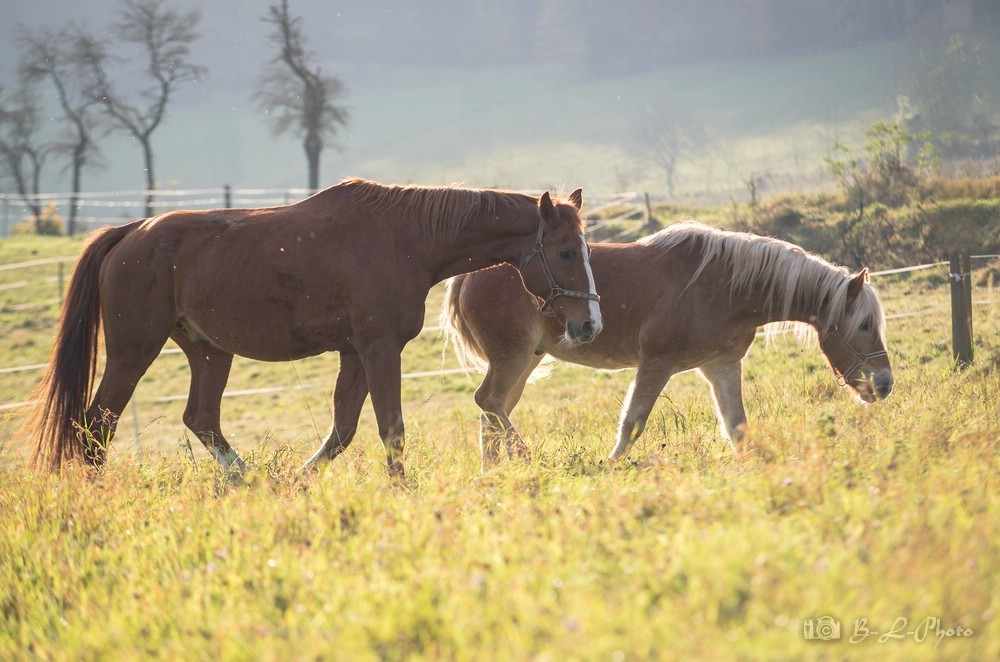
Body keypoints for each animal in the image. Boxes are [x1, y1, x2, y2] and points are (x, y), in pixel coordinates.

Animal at [29, 179, 600, 474]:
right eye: (565, 252)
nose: (589, 323)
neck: (405, 239)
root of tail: (132, 231)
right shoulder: (378, 349)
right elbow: (391, 430)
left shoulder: (355, 354)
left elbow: (342, 434)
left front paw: (298, 485)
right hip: (134, 351)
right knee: (96, 428)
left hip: (209, 352)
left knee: (200, 419)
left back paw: (248, 484)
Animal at [446, 220, 892, 464]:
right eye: (865, 324)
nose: (885, 383)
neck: (725, 284)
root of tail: (469, 274)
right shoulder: (656, 364)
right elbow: (632, 423)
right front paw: (611, 466)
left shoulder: (721, 366)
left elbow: (737, 427)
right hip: (514, 358)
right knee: (488, 403)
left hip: (525, 362)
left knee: (493, 413)